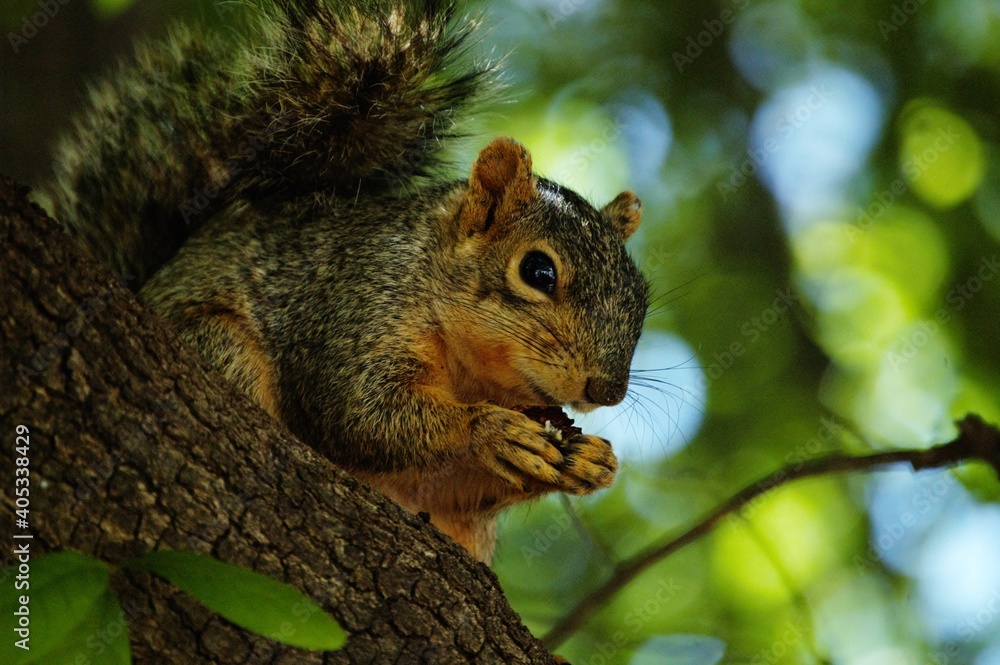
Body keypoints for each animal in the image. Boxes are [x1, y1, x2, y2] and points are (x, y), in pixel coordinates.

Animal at [34, 0, 649, 563]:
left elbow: (453, 487)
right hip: (218, 342)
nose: (606, 391)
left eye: (641, 297)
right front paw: (489, 429)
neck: (471, 368)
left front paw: (593, 462)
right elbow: (359, 412)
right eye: (537, 270)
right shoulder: (352, 310)